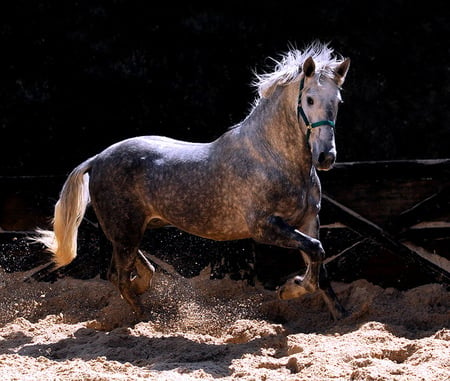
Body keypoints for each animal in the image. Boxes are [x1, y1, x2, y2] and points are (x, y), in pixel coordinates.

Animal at [36, 41, 352, 320]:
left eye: (337, 101)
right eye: (309, 99)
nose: (326, 157)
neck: (273, 158)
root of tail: (98, 158)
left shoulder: (308, 220)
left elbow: (320, 264)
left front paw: (340, 316)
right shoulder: (265, 227)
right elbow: (315, 251)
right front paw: (289, 289)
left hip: (132, 229)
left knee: (137, 270)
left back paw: (144, 295)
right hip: (125, 231)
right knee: (118, 275)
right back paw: (144, 318)